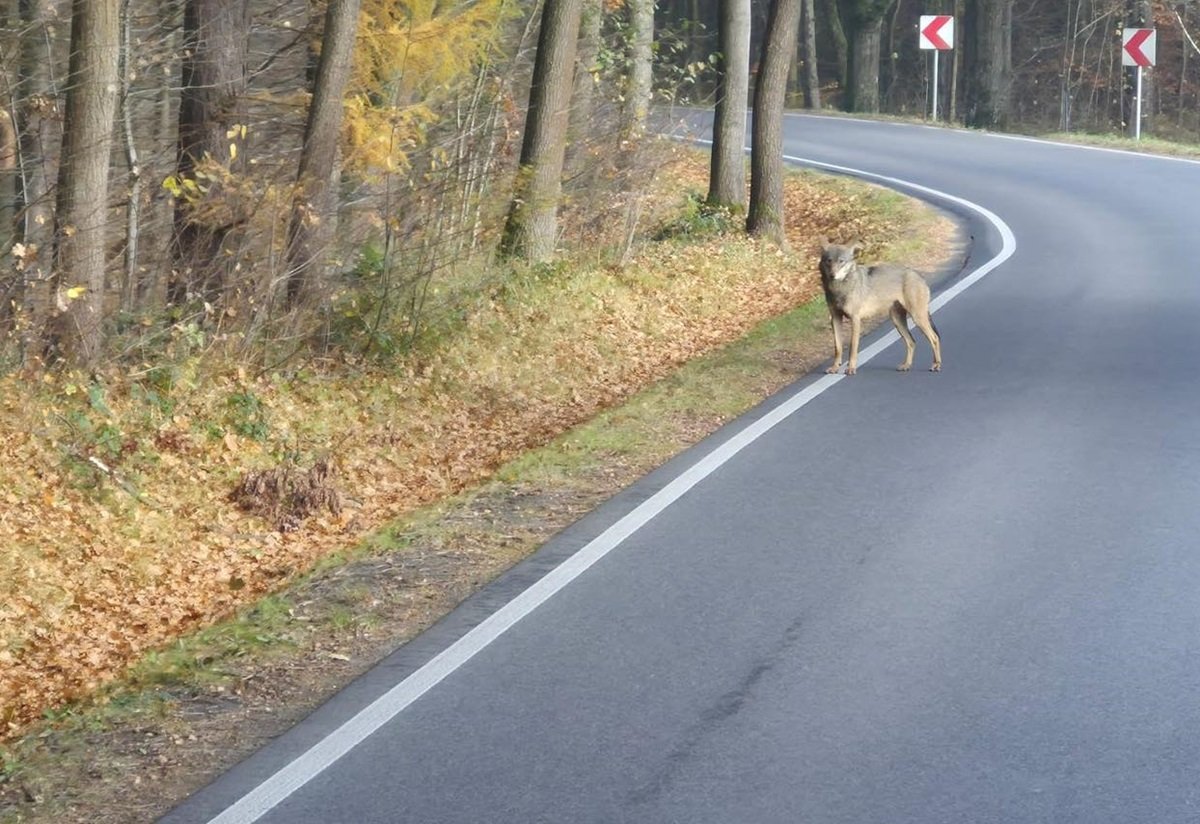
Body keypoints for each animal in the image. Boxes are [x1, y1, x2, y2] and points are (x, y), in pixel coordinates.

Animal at [820, 242, 940, 376]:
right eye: (829, 261)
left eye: (841, 261)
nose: (832, 275)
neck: (839, 288)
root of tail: (919, 275)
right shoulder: (835, 318)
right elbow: (838, 347)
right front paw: (835, 367)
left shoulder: (855, 319)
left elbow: (853, 347)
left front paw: (851, 368)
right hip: (897, 321)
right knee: (912, 342)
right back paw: (906, 366)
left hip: (917, 318)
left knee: (934, 338)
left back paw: (936, 365)